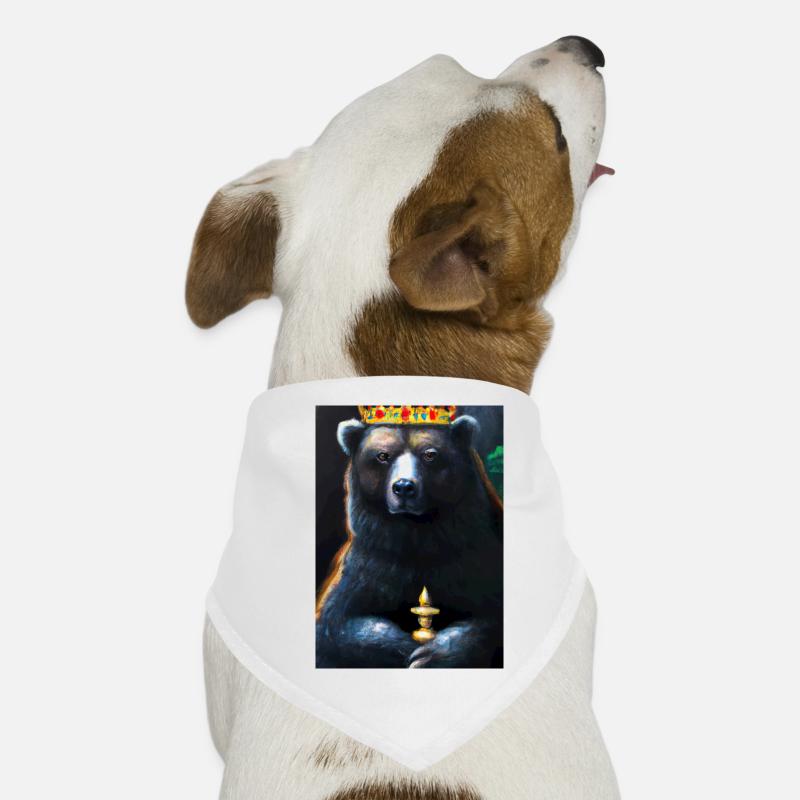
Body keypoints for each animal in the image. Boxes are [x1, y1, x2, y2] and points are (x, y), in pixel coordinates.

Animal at [316, 414, 503, 669]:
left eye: (430, 454)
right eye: (382, 455)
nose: (404, 487)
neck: (417, 534)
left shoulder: (472, 559)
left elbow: (491, 619)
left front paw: (432, 654)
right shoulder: (374, 563)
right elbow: (339, 623)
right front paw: (404, 647)